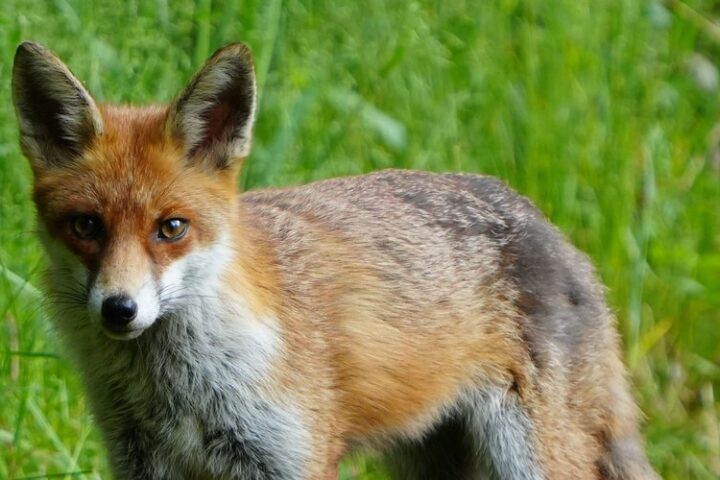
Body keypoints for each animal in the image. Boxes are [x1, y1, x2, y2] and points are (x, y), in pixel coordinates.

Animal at [11, 41, 659, 480]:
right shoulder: (141, 460)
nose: (119, 309)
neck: (181, 392)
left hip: (532, 458)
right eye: (86, 227)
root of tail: (553, 229)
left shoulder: (291, 457)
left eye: (171, 228)